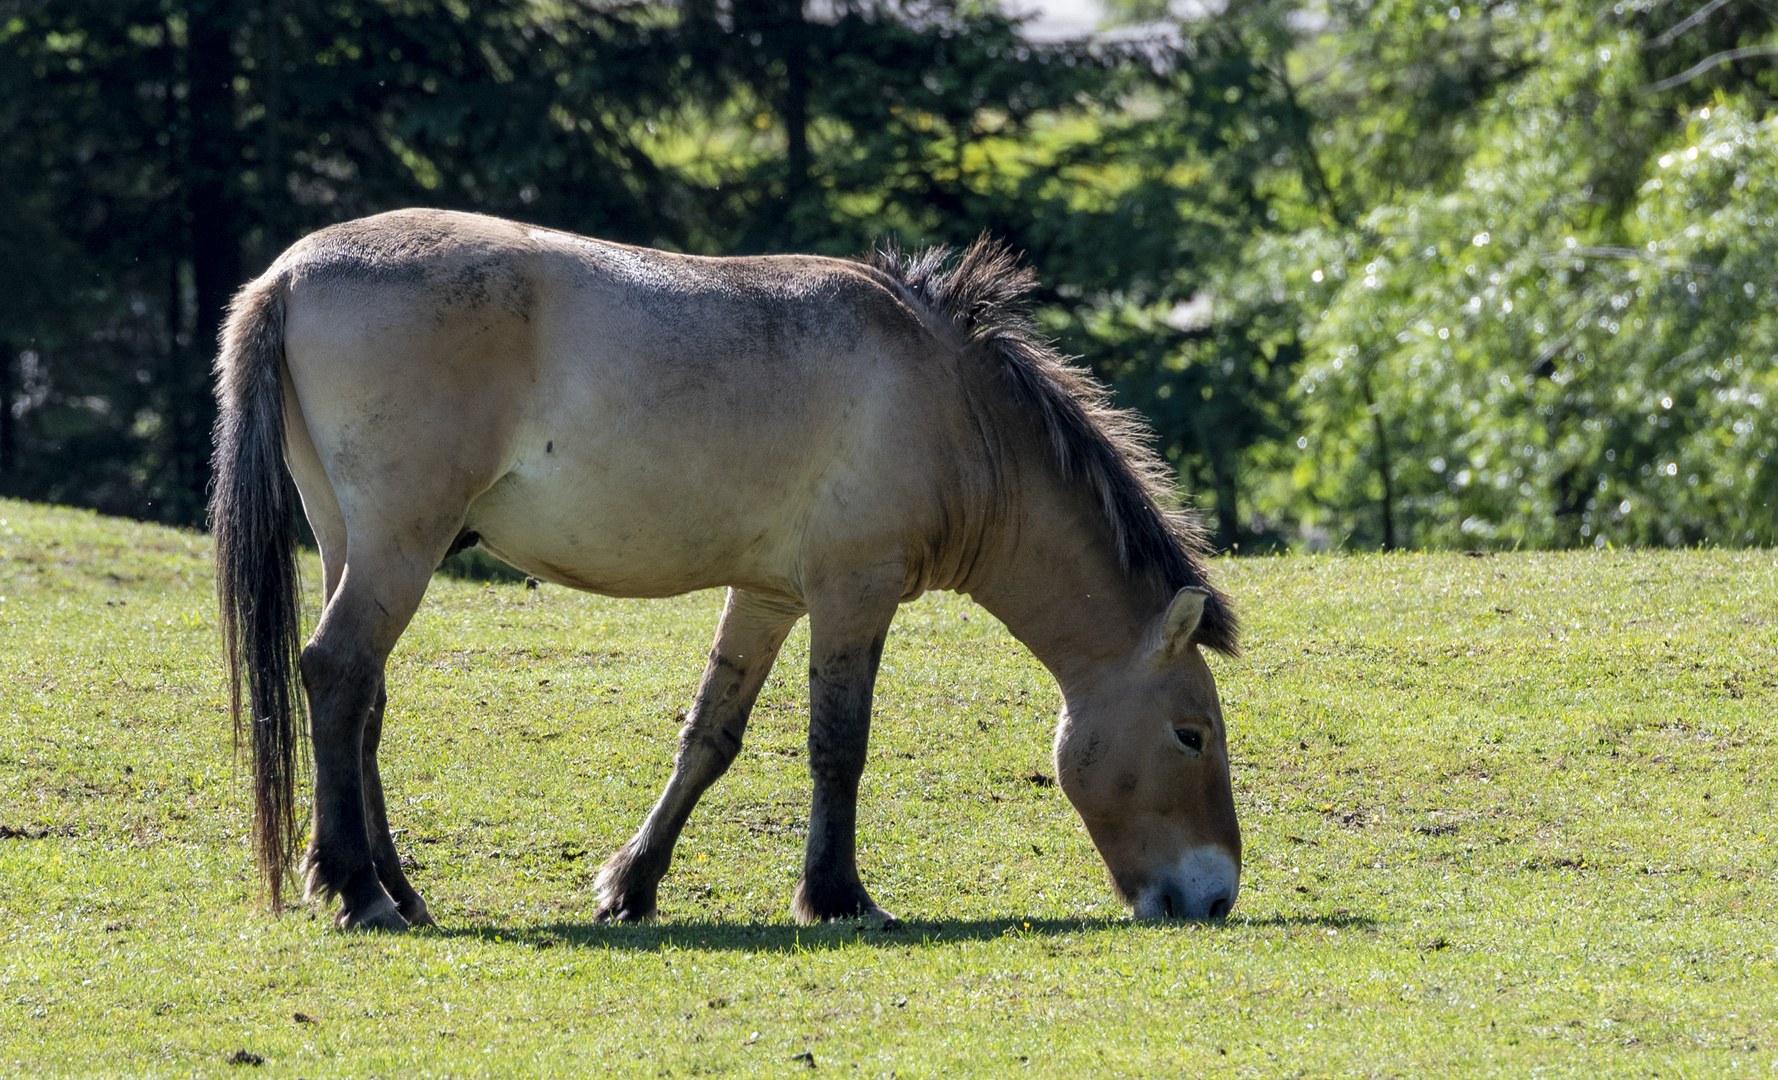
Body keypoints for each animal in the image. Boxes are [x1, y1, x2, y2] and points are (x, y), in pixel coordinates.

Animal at [215, 209, 1244, 932]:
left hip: (355, 540)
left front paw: (630, 887)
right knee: (338, 674)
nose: (1217, 896)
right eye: (1191, 735)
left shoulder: (769, 597)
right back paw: (359, 891)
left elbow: (709, 738)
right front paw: (838, 897)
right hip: (401, 541)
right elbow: (839, 745)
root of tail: (288, 274)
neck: (950, 404)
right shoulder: (853, 595)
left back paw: (396, 888)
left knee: (363, 704)